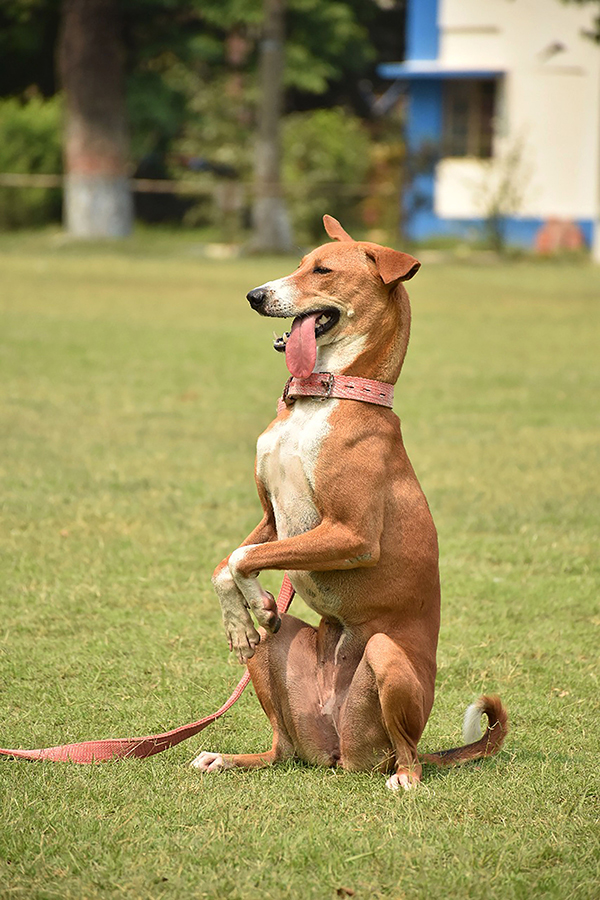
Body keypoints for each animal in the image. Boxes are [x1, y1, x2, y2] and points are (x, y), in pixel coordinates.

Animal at [191, 213, 506, 788]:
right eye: (299, 262)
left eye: (323, 271)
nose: (254, 295)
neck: (323, 397)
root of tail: (338, 748)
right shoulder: (271, 519)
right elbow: (224, 564)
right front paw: (241, 619)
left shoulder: (350, 534)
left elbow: (243, 558)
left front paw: (256, 600)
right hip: (278, 667)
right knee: (281, 748)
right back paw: (227, 755)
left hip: (385, 663)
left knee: (406, 752)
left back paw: (405, 779)